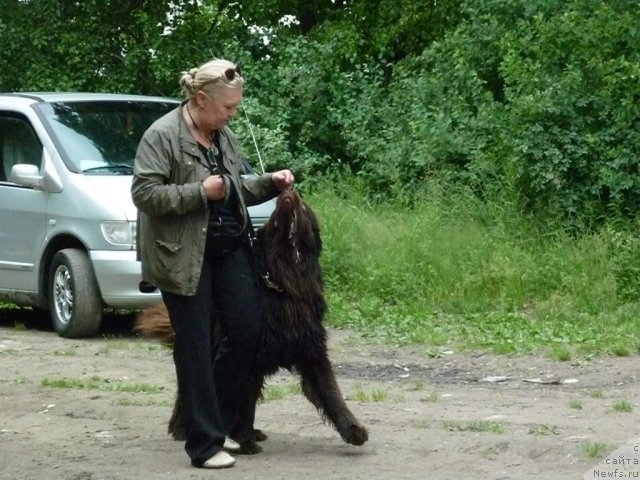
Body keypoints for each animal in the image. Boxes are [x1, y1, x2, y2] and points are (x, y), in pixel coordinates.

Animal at [136, 188, 370, 454]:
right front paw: (244, 440)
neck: (283, 279)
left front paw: (353, 430)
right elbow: (245, 403)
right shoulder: (252, 358)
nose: (289, 189)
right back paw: (184, 429)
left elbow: (331, 393)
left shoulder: (312, 351)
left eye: (303, 206)